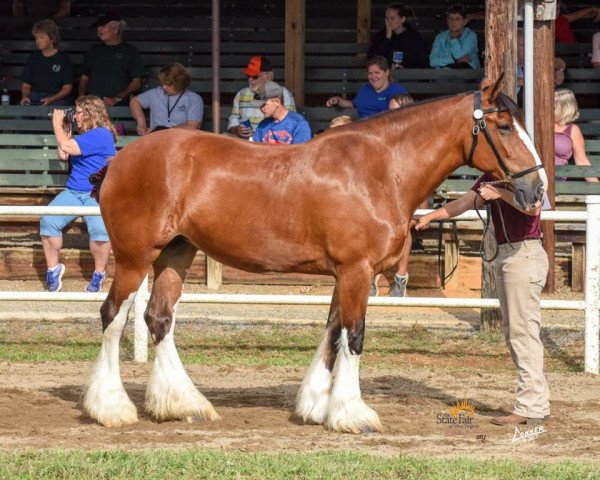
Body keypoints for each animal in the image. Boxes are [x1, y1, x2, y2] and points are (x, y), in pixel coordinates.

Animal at [84, 77, 548, 434]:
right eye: (504, 126)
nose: (536, 190)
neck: (381, 169)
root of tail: (119, 160)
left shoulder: (346, 274)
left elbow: (333, 333)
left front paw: (317, 406)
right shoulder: (357, 271)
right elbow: (354, 336)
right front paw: (352, 414)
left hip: (175, 255)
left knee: (159, 318)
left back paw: (183, 404)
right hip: (134, 258)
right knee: (113, 316)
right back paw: (112, 407)